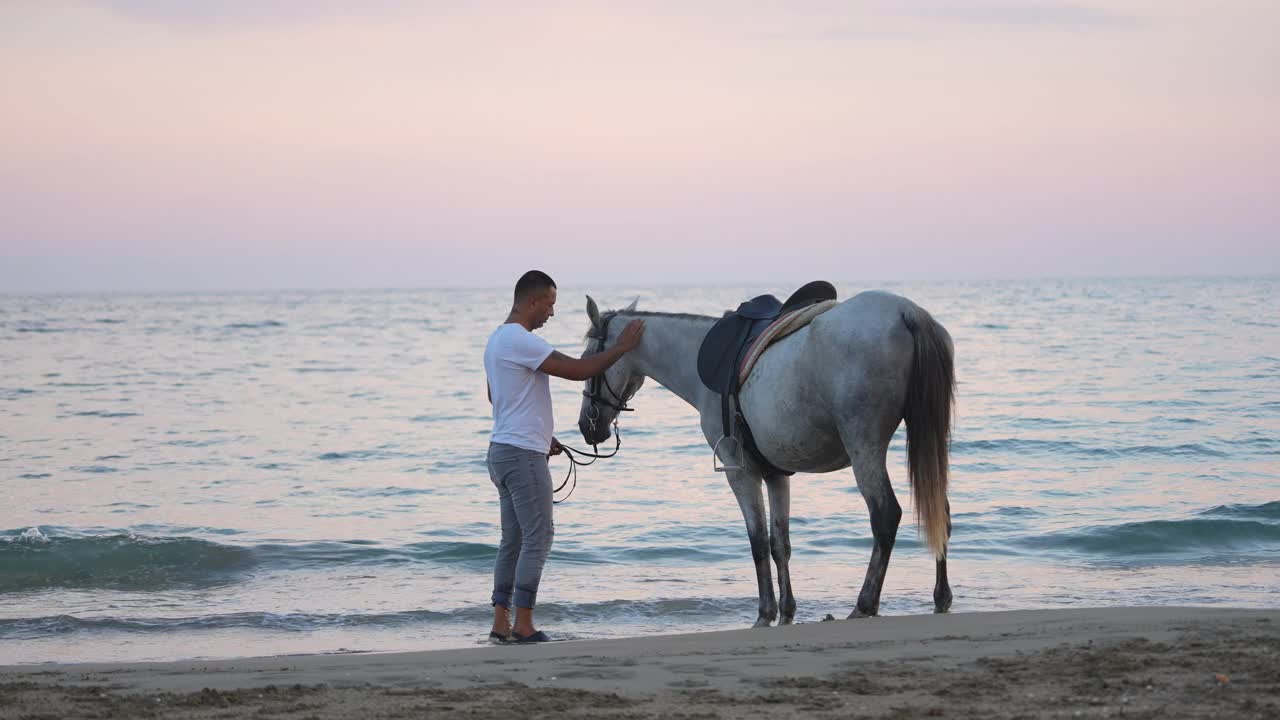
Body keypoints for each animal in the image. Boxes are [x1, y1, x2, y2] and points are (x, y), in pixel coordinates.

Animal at [576, 289, 957, 622]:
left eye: (587, 358)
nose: (586, 425)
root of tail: (906, 311)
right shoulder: (775, 474)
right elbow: (779, 544)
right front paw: (787, 611)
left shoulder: (739, 471)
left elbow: (758, 542)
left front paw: (765, 612)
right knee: (941, 511)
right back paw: (941, 597)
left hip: (864, 444)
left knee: (884, 514)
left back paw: (864, 604)